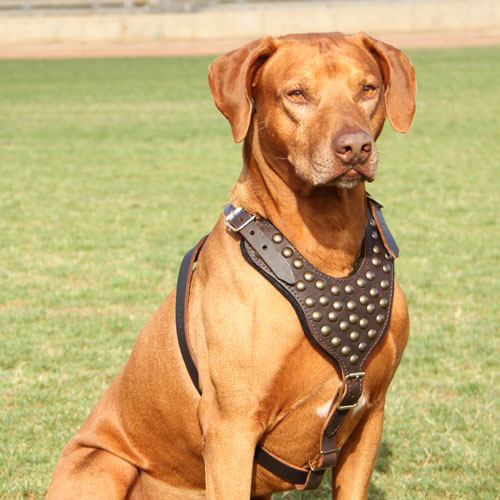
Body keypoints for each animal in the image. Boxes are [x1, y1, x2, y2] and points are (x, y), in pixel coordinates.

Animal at [47, 32, 416, 500]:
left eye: (368, 89)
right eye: (297, 94)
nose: (354, 146)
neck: (325, 242)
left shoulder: (370, 414)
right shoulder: (231, 428)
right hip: (102, 465)